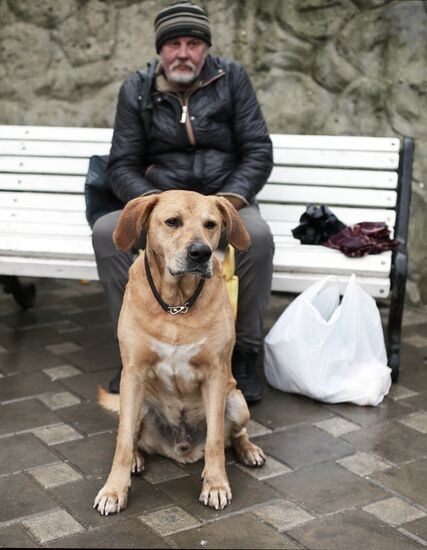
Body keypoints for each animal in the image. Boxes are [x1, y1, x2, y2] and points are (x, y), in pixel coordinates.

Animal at [94, 191, 264, 516]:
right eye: (172, 222)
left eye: (211, 224)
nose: (201, 253)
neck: (176, 303)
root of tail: (181, 448)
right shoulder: (132, 374)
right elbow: (122, 441)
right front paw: (114, 490)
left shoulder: (216, 375)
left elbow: (215, 441)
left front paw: (216, 484)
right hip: (138, 402)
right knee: (134, 438)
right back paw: (137, 458)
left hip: (236, 400)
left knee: (234, 434)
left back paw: (247, 450)